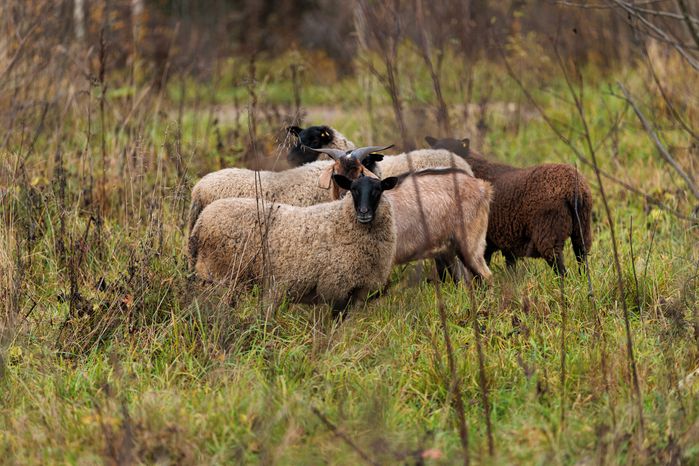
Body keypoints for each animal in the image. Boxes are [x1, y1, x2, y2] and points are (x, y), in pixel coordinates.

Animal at [188, 174, 399, 310]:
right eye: (353, 190)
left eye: (378, 190)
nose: (363, 212)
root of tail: (201, 222)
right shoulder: (336, 287)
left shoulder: (358, 291)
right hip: (218, 274)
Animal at [425, 136, 593, 275]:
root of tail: (573, 189)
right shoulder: (507, 240)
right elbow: (510, 268)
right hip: (582, 229)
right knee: (582, 257)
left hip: (549, 233)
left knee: (561, 270)